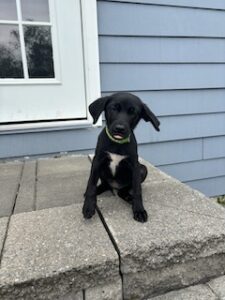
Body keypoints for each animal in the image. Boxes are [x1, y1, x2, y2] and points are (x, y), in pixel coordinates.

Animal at [82, 93, 160, 223]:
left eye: (133, 112)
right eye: (114, 108)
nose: (120, 128)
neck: (117, 143)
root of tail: (115, 186)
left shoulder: (135, 166)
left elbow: (137, 189)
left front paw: (139, 210)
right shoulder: (97, 161)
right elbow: (91, 185)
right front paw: (88, 206)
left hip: (142, 169)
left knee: (124, 190)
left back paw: (129, 197)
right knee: (105, 185)